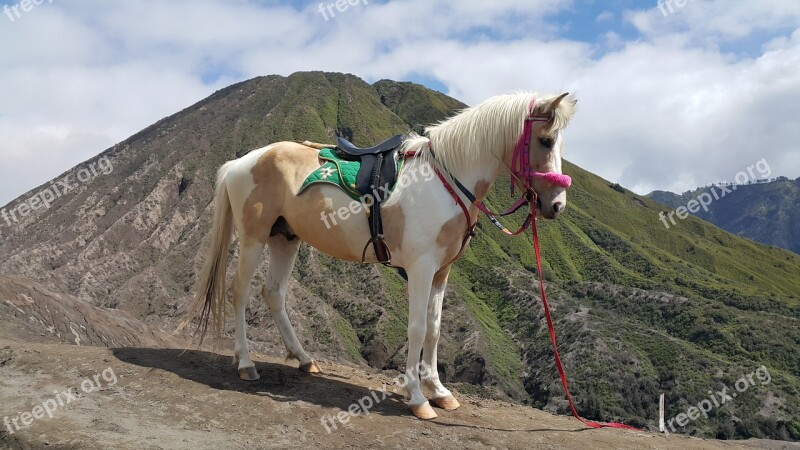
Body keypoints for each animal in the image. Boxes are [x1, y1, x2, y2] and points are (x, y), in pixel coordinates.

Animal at [183, 89, 576, 420]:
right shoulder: (420, 269)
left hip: (285, 240)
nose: (557, 205)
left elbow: (435, 329)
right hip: (253, 238)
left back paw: (305, 359)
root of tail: (241, 161)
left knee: (274, 295)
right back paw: (246, 363)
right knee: (239, 293)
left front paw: (439, 391)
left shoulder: (442, 272)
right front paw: (417, 398)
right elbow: (417, 329)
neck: (446, 179)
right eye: (545, 140)